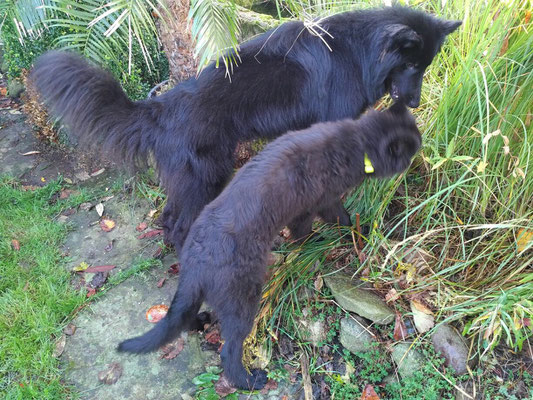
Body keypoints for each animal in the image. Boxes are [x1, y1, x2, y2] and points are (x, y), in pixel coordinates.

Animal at [31, 7, 460, 253]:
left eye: (425, 66)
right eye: (410, 65)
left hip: (192, 181)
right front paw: (345, 227)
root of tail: (161, 107)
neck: (357, 51)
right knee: (180, 227)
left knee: (168, 218)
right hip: (208, 176)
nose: (415, 103)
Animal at [116, 104, 420, 390]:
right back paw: (250, 380)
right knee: (229, 350)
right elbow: (327, 223)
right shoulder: (317, 203)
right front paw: (348, 234)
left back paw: (200, 321)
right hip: (243, 298)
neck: (350, 144)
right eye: (411, 149)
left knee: (181, 317)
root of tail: (195, 262)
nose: (420, 156)